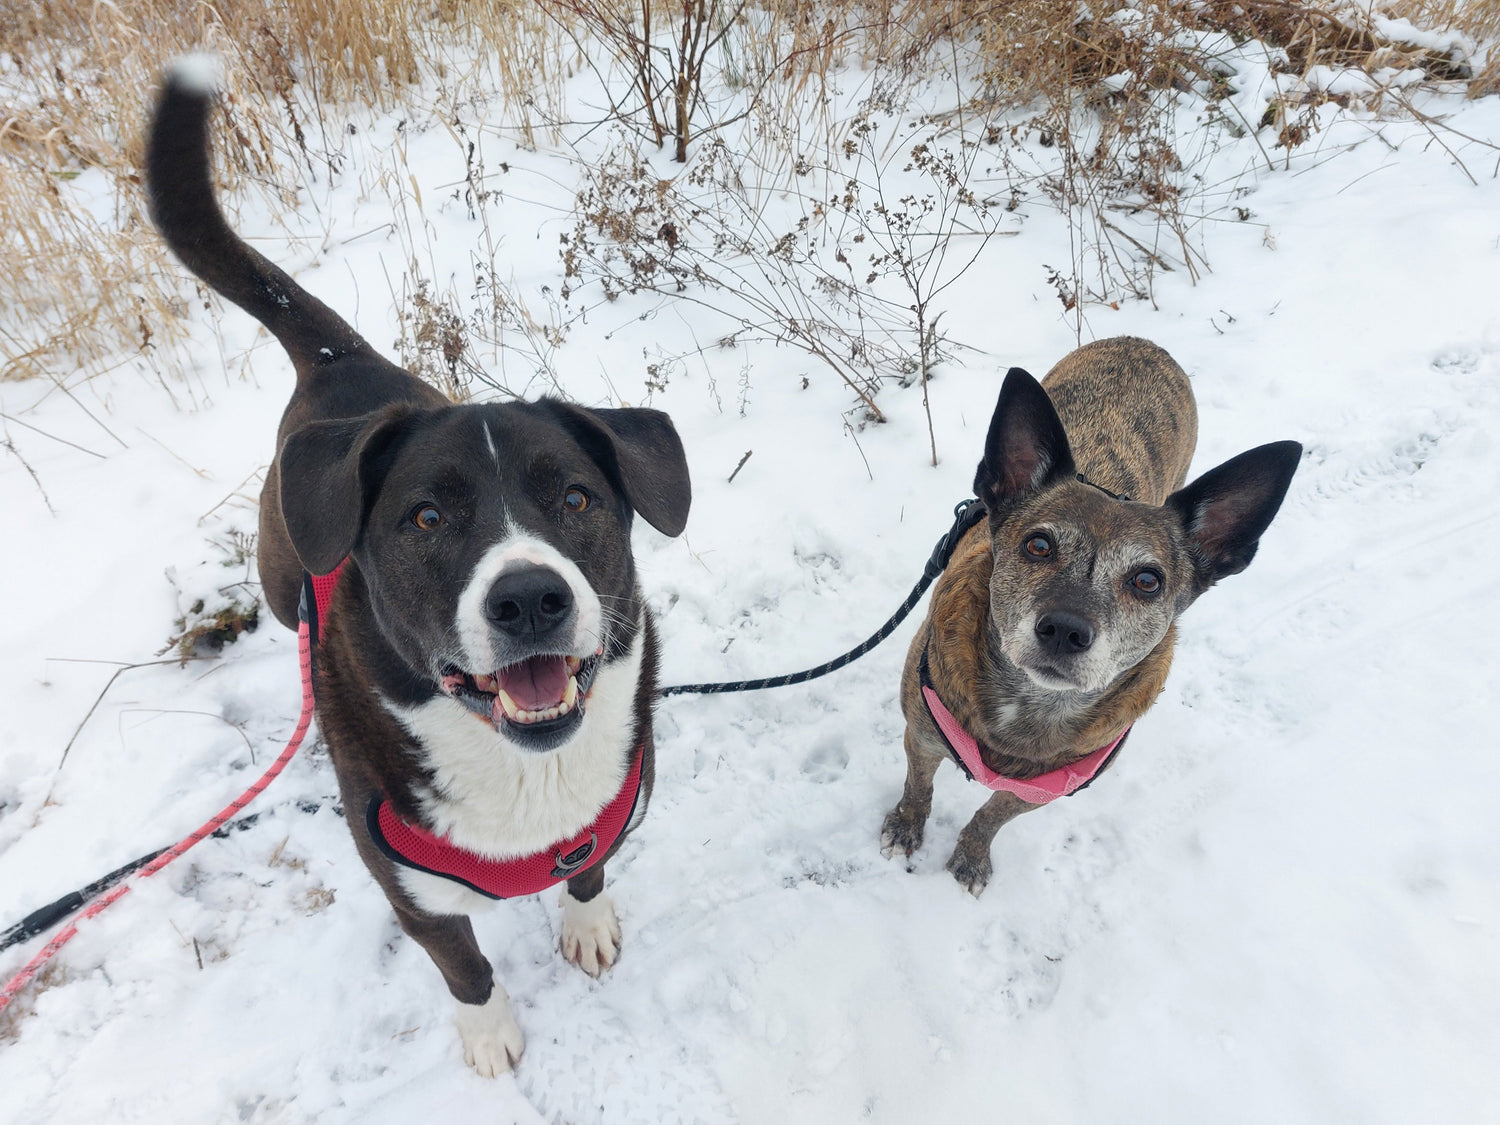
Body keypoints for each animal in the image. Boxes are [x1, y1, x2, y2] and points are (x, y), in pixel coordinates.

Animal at [149, 63, 687, 1086]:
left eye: (576, 499)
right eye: (426, 517)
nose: (530, 599)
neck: (521, 770)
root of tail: (341, 361)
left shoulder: (600, 818)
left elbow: (589, 870)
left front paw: (587, 923)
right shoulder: (413, 895)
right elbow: (463, 964)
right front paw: (488, 1033)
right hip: (280, 574)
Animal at [876, 339, 1302, 894]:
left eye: (1148, 581)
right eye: (1038, 545)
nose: (1064, 630)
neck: (1027, 705)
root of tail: (1144, 342)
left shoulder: (1038, 793)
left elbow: (991, 816)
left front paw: (971, 855)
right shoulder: (923, 737)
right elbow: (918, 787)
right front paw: (906, 826)